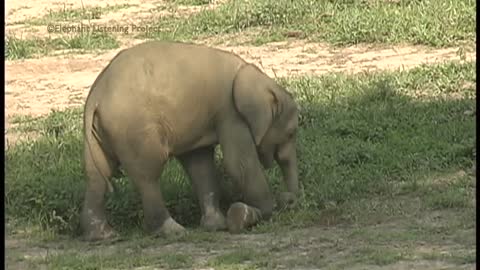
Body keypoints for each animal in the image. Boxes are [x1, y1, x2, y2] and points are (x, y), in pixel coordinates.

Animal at [81, 41, 300, 242]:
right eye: (291, 133)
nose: (289, 199)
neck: (252, 74)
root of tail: (96, 96)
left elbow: (200, 165)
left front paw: (217, 225)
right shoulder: (230, 113)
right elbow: (238, 164)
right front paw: (265, 210)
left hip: (100, 132)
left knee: (97, 176)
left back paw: (103, 236)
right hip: (134, 128)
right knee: (148, 174)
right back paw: (172, 231)